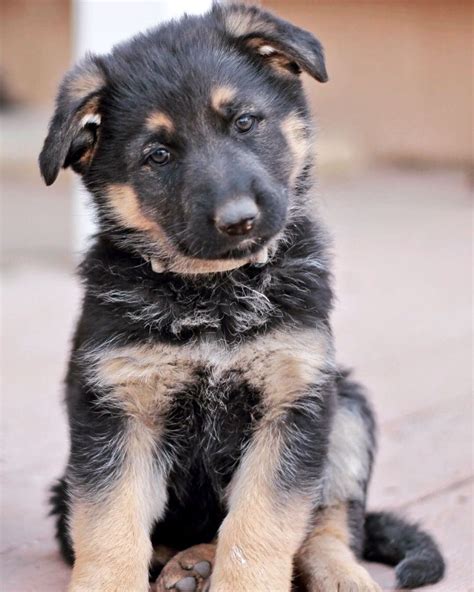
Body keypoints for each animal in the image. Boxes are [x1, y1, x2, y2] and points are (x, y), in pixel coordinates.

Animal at [39, 4, 444, 592]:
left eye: (246, 123)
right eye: (157, 155)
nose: (238, 220)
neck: (215, 294)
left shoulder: (293, 403)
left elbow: (260, 527)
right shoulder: (118, 412)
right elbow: (110, 527)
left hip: (345, 408)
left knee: (329, 525)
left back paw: (329, 573)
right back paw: (188, 564)